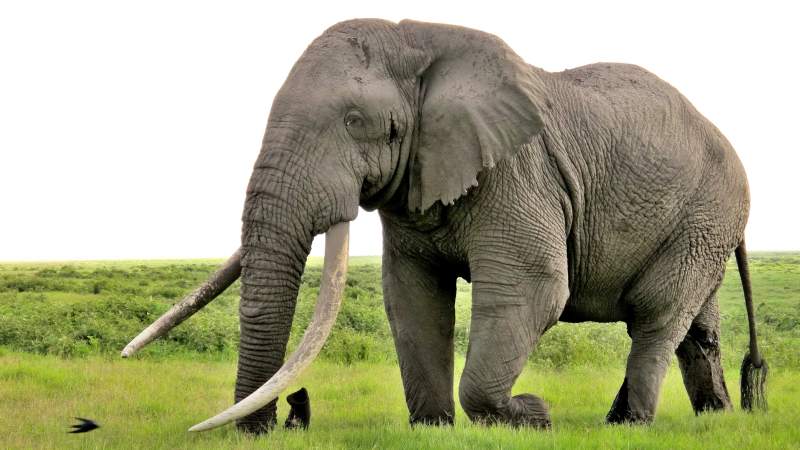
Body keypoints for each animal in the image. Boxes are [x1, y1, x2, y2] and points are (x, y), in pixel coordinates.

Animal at [121, 18, 768, 433]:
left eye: (355, 121)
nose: (285, 417)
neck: (421, 41)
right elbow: (411, 299)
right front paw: (432, 427)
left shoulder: (517, 171)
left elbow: (532, 289)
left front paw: (531, 416)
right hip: (702, 225)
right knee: (697, 328)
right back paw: (711, 417)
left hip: (705, 214)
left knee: (656, 315)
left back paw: (629, 425)